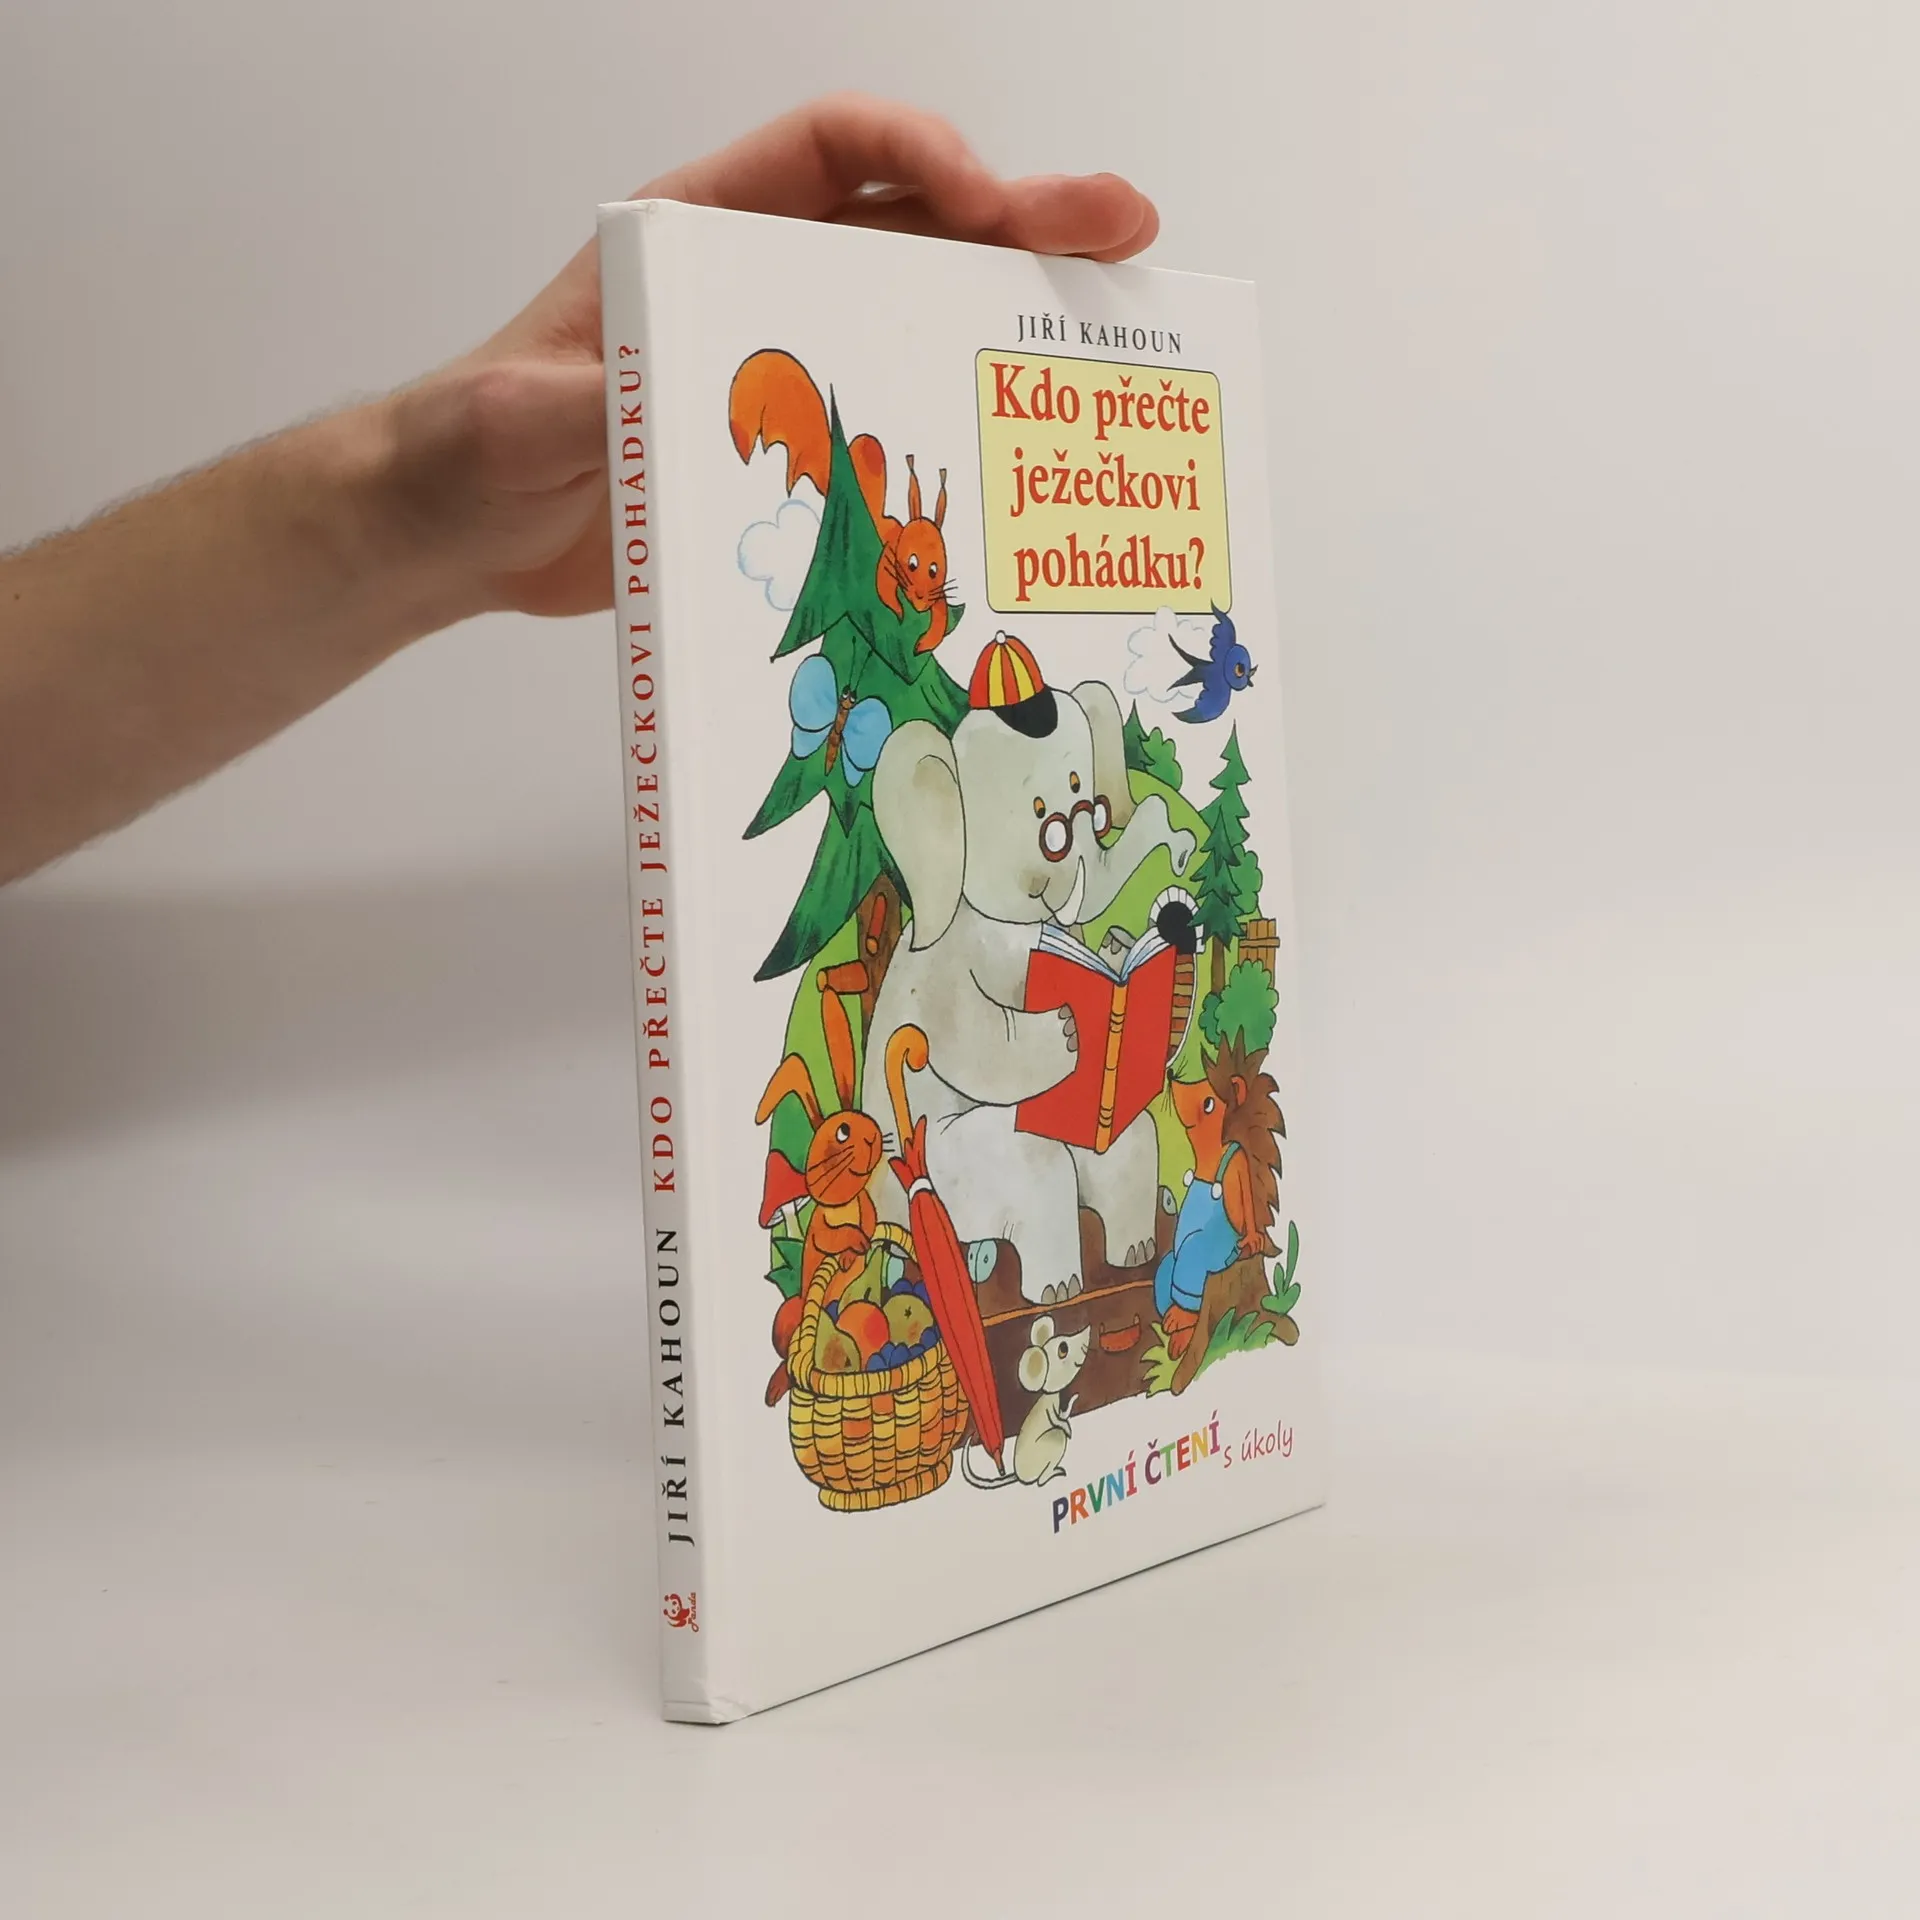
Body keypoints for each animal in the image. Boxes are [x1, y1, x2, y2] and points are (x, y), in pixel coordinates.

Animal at [727, 348, 953, 653]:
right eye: (912, 564)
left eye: (935, 570)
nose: (919, 598)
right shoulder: (887, 555)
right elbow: (883, 584)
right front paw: (897, 611)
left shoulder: (938, 594)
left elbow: (941, 615)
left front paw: (924, 642)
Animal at [863, 671, 1196, 1304]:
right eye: (1048, 824)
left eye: (1092, 808)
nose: (1182, 845)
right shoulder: (944, 965)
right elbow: (977, 1043)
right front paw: (1069, 1028)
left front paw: (1123, 953)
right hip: (954, 1169)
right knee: (1034, 1164)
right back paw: (1057, 1288)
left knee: (1127, 1142)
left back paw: (1134, 1252)